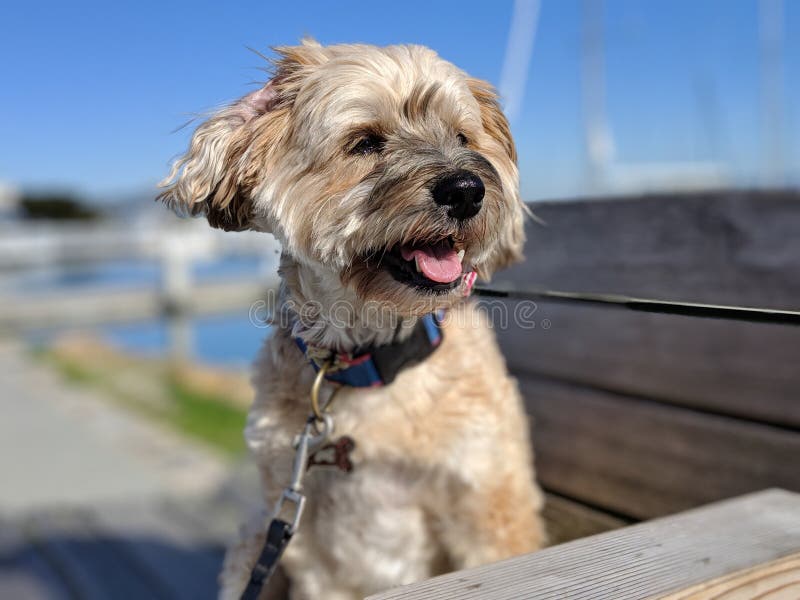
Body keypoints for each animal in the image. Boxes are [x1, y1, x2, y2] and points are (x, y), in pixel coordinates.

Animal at [161, 39, 552, 596]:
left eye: (462, 136)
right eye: (365, 143)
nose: (466, 189)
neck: (369, 367)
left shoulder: (491, 502)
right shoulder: (297, 526)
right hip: (252, 543)